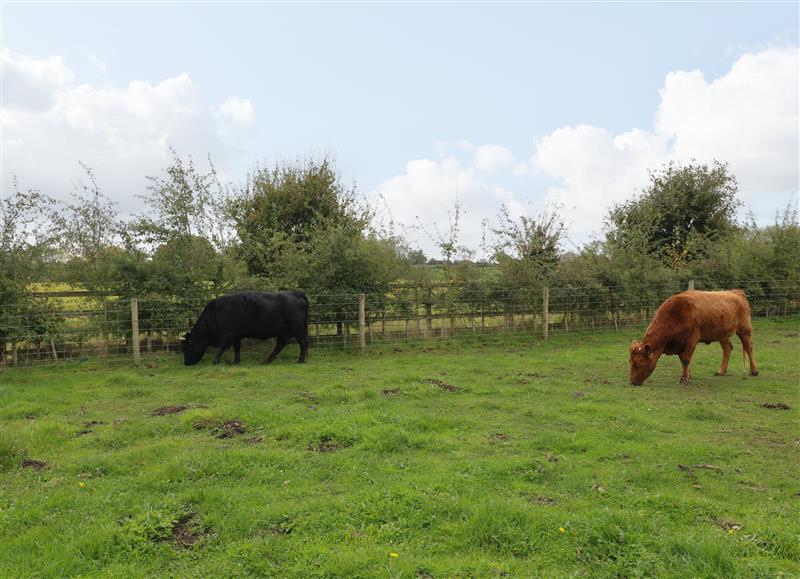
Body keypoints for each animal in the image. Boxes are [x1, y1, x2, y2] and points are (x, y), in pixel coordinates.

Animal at [181, 290, 310, 368]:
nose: (186, 363)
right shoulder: (236, 335)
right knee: (281, 344)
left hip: (297, 328)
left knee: (303, 342)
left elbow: (221, 348)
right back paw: (267, 361)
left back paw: (300, 360)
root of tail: (295, 293)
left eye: (187, 348)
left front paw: (216, 362)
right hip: (282, 331)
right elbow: (237, 348)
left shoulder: (227, 333)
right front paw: (235, 362)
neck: (215, 312)